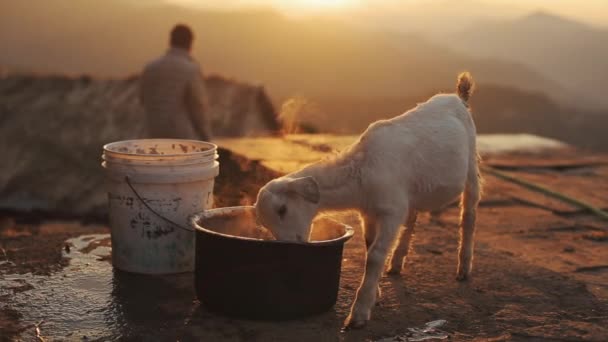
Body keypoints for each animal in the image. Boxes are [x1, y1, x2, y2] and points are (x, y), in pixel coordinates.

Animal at [254, 73, 482, 328]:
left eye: (282, 209)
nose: (290, 247)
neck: (361, 172)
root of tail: (459, 96)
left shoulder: (391, 211)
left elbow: (374, 255)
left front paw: (359, 313)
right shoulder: (369, 211)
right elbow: (368, 245)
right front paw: (376, 292)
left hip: (470, 163)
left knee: (469, 215)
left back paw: (463, 268)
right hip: (413, 188)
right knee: (412, 216)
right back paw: (396, 263)